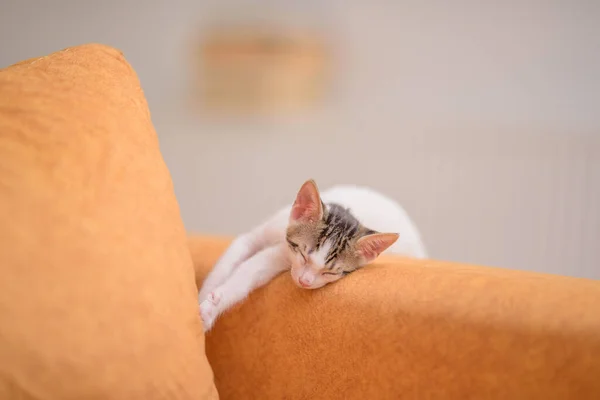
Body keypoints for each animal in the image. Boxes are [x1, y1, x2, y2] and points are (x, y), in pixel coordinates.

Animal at [199, 180, 424, 330]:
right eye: (303, 255)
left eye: (330, 273)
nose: (305, 281)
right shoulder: (257, 237)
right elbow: (232, 258)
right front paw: (203, 297)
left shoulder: (280, 256)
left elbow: (250, 271)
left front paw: (211, 307)